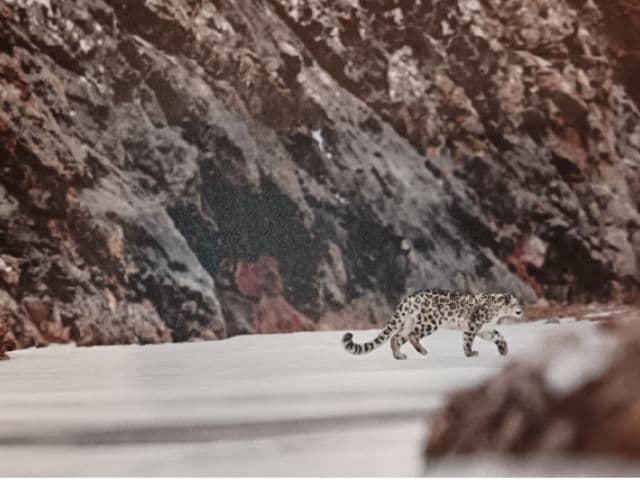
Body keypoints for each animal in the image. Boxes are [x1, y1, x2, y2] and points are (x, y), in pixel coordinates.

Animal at [342, 290, 523, 359]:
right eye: (517, 303)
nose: (522, 310)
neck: (497, 314)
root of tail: (409, 298)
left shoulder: (486, 330)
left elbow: (499, 337)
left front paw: (504, 350)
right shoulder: (473, 325)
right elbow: (467, 341)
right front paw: (470, 353)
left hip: (407, 323)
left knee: (395, 337)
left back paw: (399, 355)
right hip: (430, 322)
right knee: (412, 335)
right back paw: (422, 350)